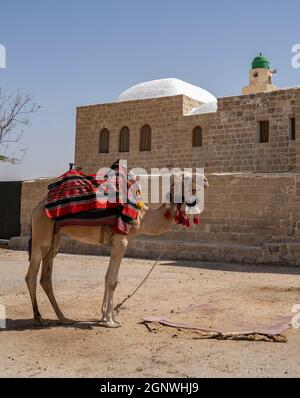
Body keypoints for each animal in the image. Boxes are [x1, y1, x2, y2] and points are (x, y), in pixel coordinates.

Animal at [25, 173, 209, 328]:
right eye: (186, 177)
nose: (206, 180)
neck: (142, 217)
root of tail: (36, 207)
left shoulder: (115, 243)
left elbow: (107, 278)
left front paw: (105, 317)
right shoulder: (121, 242)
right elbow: (113, 281)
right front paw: (111, 321)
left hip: (54, 234)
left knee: (46, 276)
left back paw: (63, 318)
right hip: (42, 229)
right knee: (31, 275)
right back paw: (39, 317)